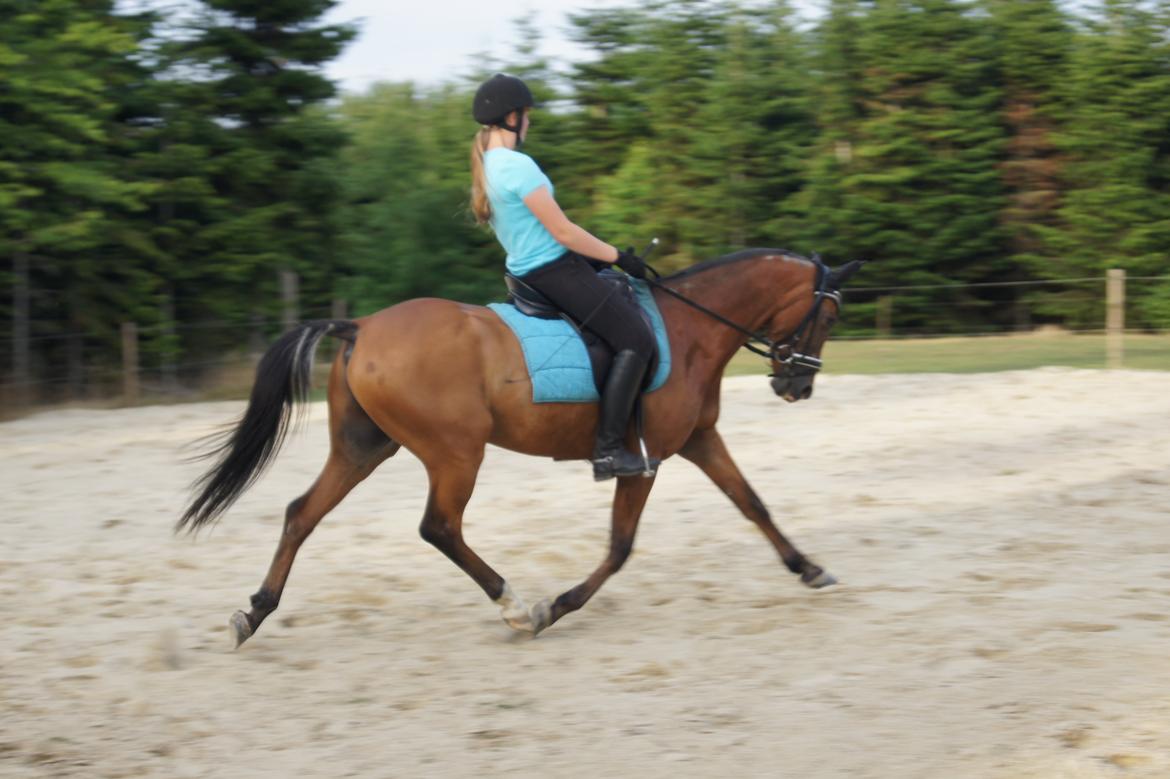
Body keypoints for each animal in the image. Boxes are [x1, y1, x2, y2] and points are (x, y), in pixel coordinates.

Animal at [179, 249, 864, 647]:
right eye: (828, 317)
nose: (797, 384)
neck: (691, 330)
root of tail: (361, 326)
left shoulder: (698, 440)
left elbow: (753, 504)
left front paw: (810, 569)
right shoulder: (643, 461)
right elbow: (620, 547)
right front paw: (555, 607)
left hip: (365, 448)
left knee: (303, 513)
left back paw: (254, 613)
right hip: (455, 453)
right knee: (439, 527)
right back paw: (513, 607)